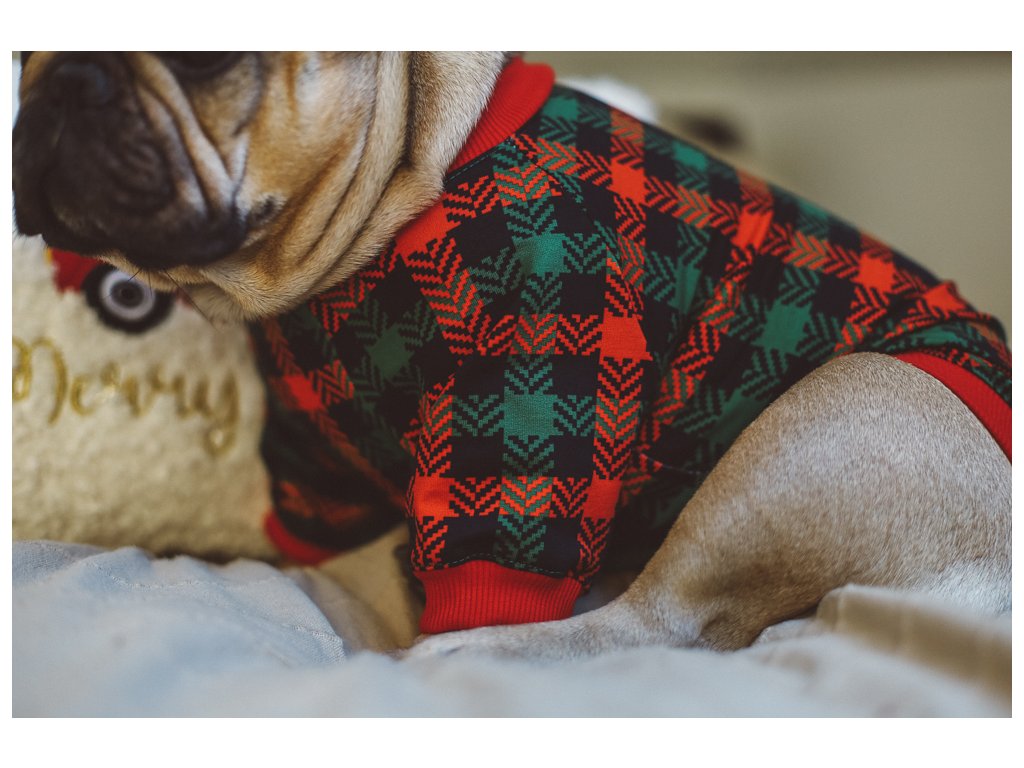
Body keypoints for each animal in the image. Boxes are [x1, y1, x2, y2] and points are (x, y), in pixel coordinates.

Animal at [13, 52, 1011, 660]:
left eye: (205, 57)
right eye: (25, 55)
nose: (62, 83)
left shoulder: (531, 385)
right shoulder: (309, 458)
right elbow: (289, 540)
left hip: (834, 408)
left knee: (653, 624)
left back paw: (455, 648)